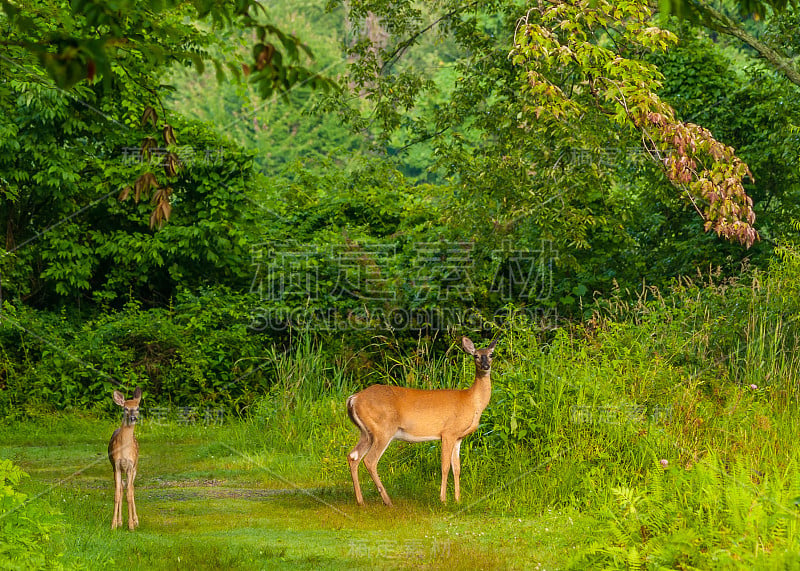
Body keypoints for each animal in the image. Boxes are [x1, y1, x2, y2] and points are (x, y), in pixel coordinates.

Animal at [346, 338, 496, 508]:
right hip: (383, 429)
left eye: (491, 354)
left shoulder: (458, 437)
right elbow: (445, 466)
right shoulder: (448, 432)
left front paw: (458, 499)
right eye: (476, 356)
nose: (486, 366)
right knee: (370, 460)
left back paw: (361, 501)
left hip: (366, 432)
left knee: (353, 456)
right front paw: (443, 500)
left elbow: (457, 468)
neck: (471, 400)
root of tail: (354, 398)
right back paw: (387, 500)